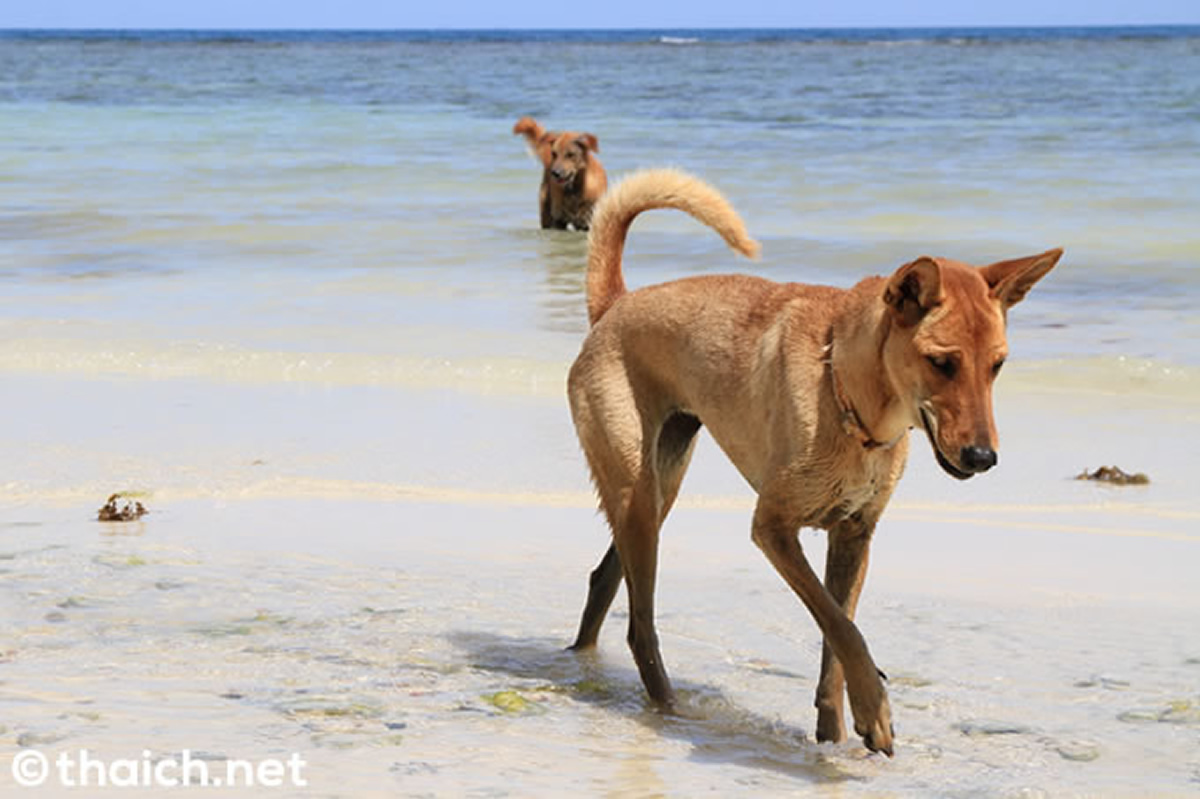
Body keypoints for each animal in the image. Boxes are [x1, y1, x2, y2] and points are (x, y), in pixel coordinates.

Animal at [566, 167, 1065, 753]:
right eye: (941, 363)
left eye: (998, 366)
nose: (984, 457)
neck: (850, 398)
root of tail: (614, 305)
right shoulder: (773, 527)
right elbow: (842, 627)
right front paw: (875, 707)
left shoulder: (853, 536)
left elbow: (836, 635)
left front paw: (836, 731)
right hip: (638, 490)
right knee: (639, 624)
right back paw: (669, 708)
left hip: (659, 489)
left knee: (604, 579)